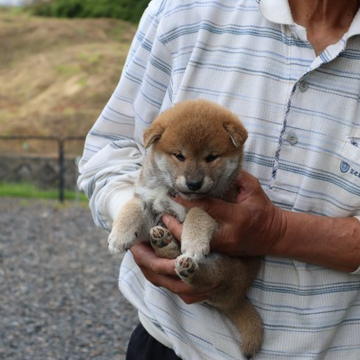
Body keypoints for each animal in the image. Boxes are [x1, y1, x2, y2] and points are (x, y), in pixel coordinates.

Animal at [108, 99, 262, 358]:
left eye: (211, 157)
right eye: (179, 156)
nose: (194, 183)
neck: (173, 193)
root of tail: (238, 297)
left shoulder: (222, 206)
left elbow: (197, 213)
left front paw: (194, 241)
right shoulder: (149, 203)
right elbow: (133, 206)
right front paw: (120, 234)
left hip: (229, 268)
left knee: (208, 278)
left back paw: (189, 267)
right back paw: (164, 243)